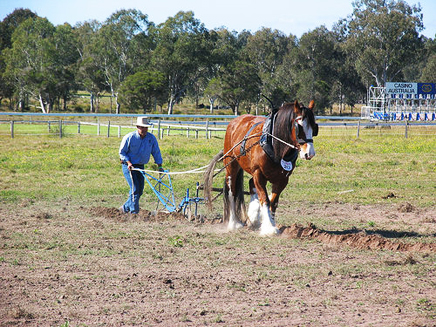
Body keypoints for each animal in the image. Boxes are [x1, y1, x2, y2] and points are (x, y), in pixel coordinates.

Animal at [204, 100, 316, 236]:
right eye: (299, 126)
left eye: (314, 126)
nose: (309, 153)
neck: (275, 147)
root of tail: (235, 121)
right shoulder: (258, 174)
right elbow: (265, 199)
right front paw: (269, 228)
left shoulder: (283, 179)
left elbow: (273, 202)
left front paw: (270, 222)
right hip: (231, 165)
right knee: (232, 191)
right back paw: (234, 223)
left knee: (251, 184)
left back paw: (253, 217)